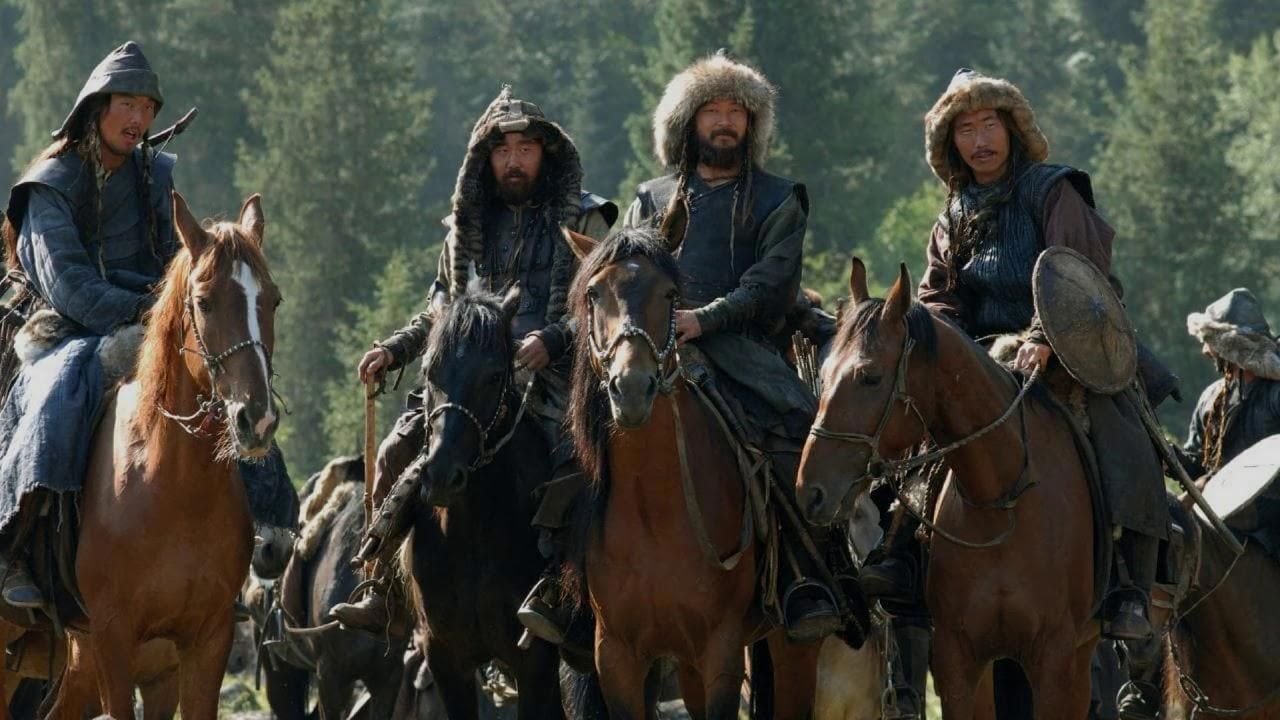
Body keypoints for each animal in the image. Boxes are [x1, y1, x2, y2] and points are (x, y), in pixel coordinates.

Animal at [42, 191, 281, 720]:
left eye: (272, 300)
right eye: (204, 302)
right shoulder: (112, 637)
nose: (256, 419)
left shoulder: (201, 644)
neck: (172, 488)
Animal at [561, 227, 820, 720]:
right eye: (593, 293)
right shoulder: (617, 658)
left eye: (669, 294)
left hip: (790, 649)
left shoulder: (720, 653)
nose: (632, 388)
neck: (654, 512)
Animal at [796, 258, 1097, 719]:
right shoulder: (958, 659)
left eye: (870, 376)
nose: (811, 491)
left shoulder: (1056, 661)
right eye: (825, 374)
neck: (1000, 502)